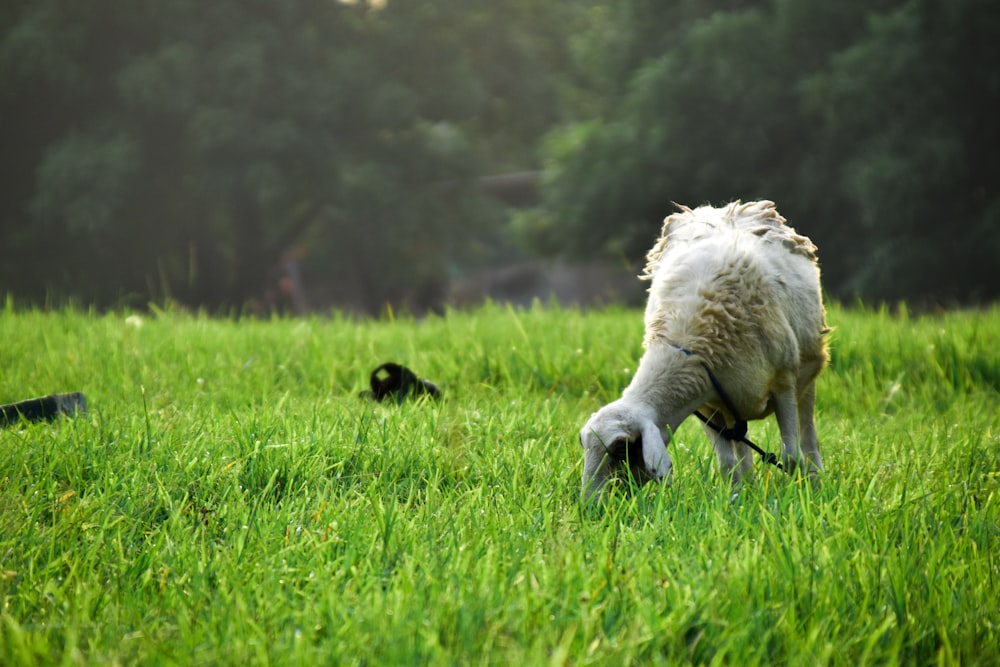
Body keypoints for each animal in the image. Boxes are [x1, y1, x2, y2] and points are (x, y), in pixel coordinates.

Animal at [580, 200, 828, 500]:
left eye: (620, 448)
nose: (589, 505)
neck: (690, 348)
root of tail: (724, 209)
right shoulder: (708, 407)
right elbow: (727, 465)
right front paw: (736, 501)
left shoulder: (784, 383)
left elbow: (790, 457)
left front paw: (796, 498)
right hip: (734, 404)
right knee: (742, 450)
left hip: (807, 372)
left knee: (807, 435)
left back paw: (815, 480)